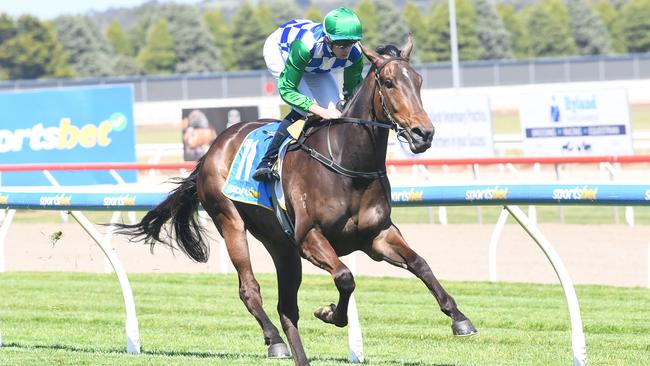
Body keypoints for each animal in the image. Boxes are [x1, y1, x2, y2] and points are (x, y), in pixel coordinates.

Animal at [115, 35, 470, 366]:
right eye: (389, 82)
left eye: (419, 81)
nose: (423, 133)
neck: (347, 163)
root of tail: (214, 146)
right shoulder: (309, 237)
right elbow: (345, 278)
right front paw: (329, 312)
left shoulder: (377, 236)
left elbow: (420, 264)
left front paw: (459, 318)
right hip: (230, 222)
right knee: (250, 289)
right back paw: (275, 341)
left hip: (280, 245)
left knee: (286, 306)